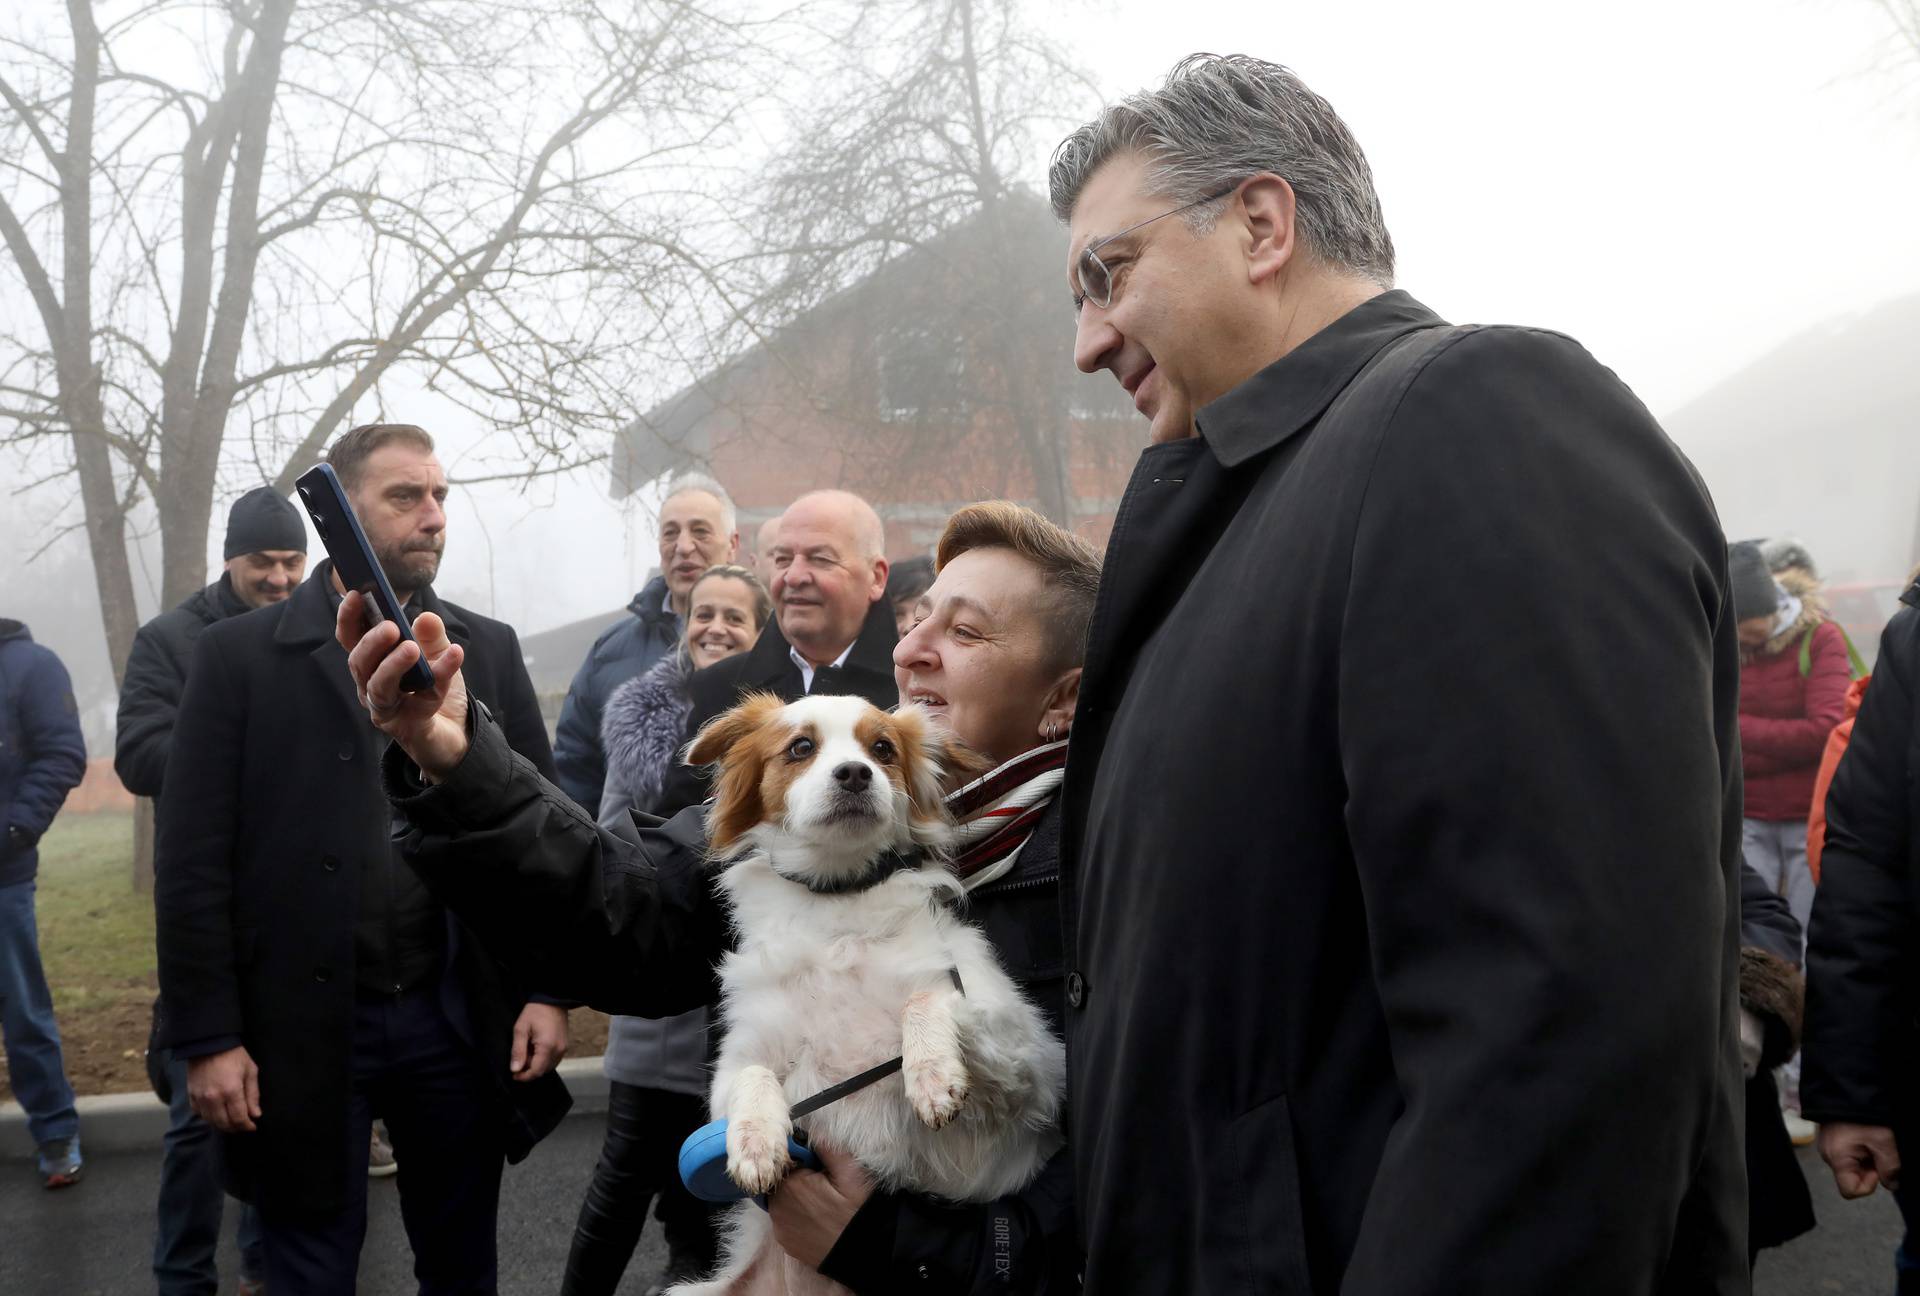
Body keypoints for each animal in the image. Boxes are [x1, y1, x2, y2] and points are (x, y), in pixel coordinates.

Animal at [672, 695, 1067, 1290]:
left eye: (882, 749)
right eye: (801, 747)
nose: (856, 772)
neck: (838, 900)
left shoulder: (1030, 1068)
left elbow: (927, 999)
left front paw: (931, 1074)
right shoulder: (734, 1066)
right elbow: (751, 1075)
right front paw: (756, 1139)